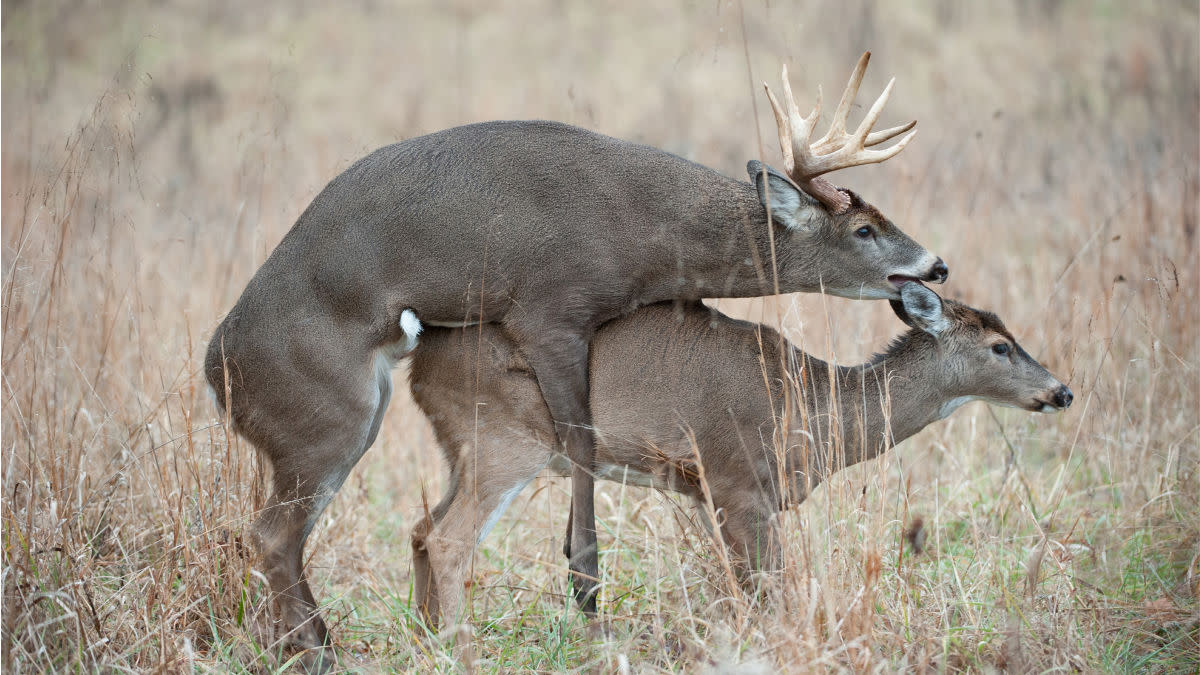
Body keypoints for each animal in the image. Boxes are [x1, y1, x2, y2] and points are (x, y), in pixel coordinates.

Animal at [204, 53, 947, 660]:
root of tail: (216, 373)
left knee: (286, 534)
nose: (936, 266)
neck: (641, 229)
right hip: (327, 417)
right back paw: (318, 650)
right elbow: (583, 442)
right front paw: (587, 589)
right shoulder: (550, 307)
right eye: (865, 229)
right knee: (272, 533)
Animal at [408, 282, 1074, 628]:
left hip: (463, 447)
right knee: (447, 540)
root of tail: (418, 362)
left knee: (419, 529)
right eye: (1000, 346)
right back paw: (459, 645)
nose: (1062, 391)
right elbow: (771, 588)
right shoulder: (736, 479)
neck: (815, 410)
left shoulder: (706, 490)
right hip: (507, 440)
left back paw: (425, 636)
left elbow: (739, 588)